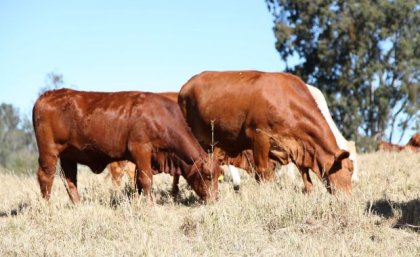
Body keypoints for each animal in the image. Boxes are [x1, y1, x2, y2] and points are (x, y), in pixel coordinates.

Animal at [33, 88, 221, 202]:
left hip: (68, 156)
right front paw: (150, 206)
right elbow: (146, 181)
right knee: (45, 177)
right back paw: (47, 207)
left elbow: (138, 184)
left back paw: (77, 205)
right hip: (49, 153)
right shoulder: (141, 151)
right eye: (208, 176)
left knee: (70, 181)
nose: (215, 199)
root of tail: (47, 95)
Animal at [179, 71, 352, 193]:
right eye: (349, 170)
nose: (348, 197)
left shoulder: (296, 145)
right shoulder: (259, 138)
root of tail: (186, 85)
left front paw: (309, 192)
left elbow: (304, 173)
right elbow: (263, 172)